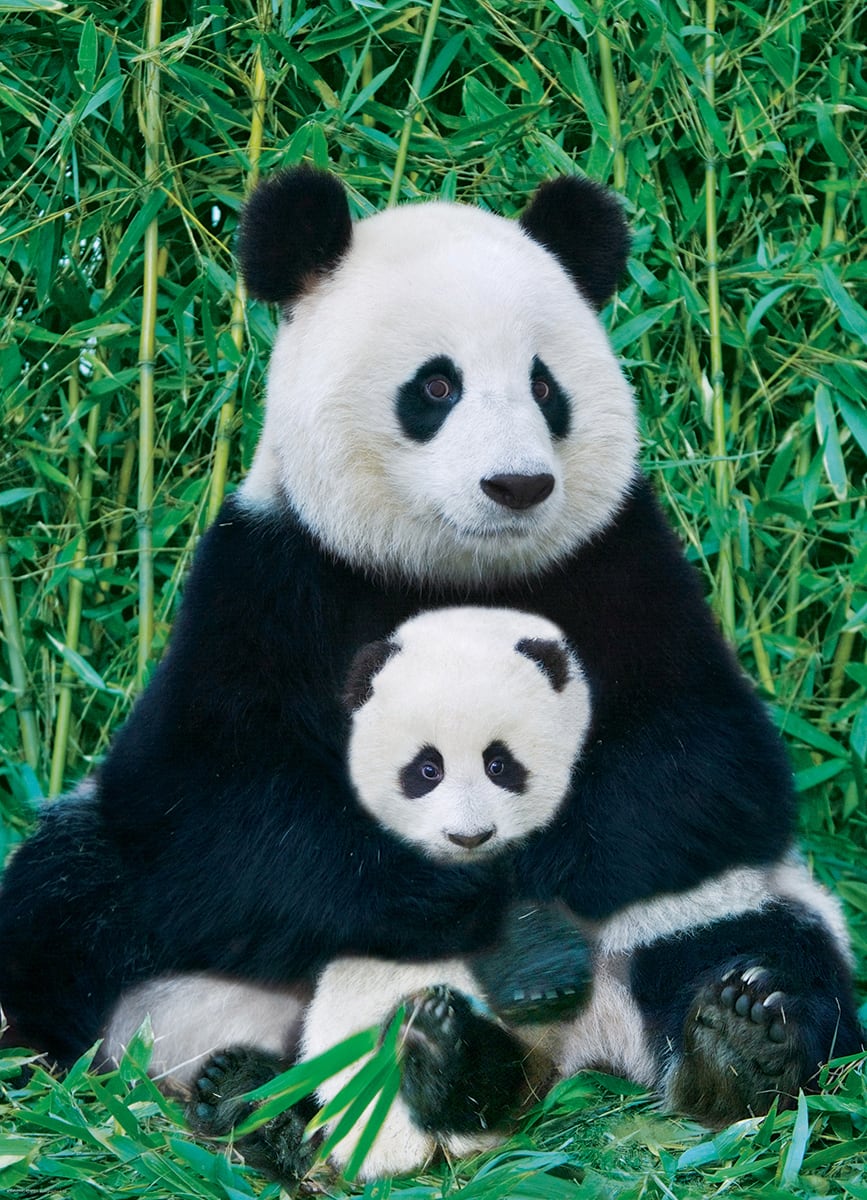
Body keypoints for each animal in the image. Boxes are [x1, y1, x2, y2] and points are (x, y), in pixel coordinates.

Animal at [187, 605, 596, 1180]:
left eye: (500, 764)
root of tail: (390, 1153)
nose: (468, 836)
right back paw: (244, 1095)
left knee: (483, 1084)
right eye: (427, 769)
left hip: (513, 1082)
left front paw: (537, 973)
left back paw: (437, 1052)